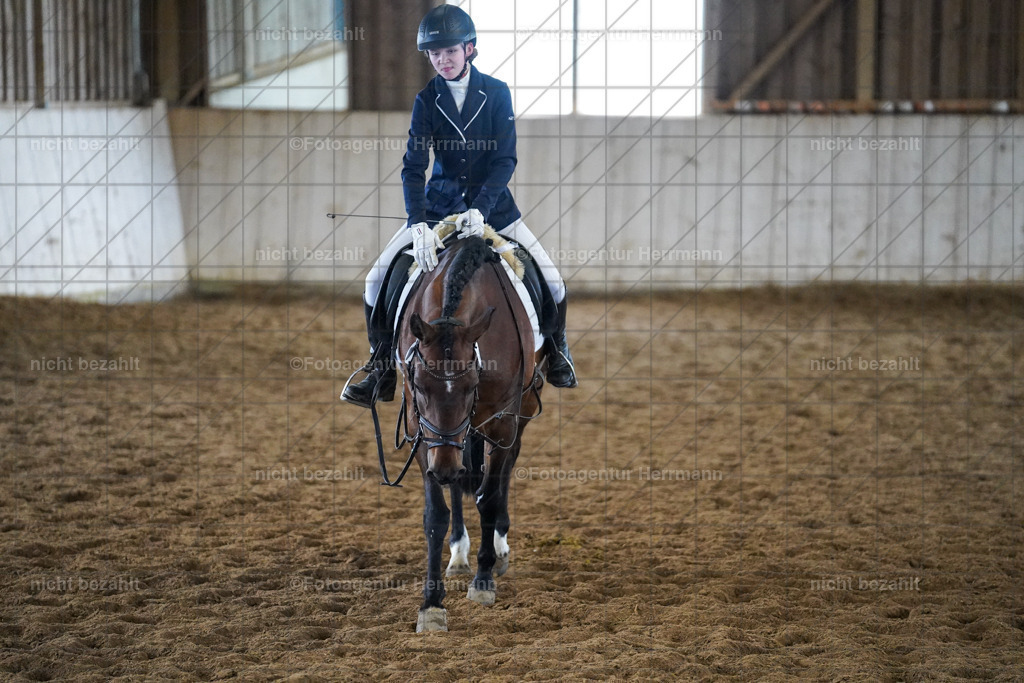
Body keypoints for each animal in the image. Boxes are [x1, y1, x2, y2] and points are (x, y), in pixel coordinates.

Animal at [391, 234, 543, 633]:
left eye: (473, 383)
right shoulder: (422, 432)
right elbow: (435, 514)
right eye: (418, 384)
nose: (443, 467)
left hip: (520, 412)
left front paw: (484, 581)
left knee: (501, 473)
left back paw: (498, 547)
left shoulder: (504, 422)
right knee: (461, 481)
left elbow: (489, 497)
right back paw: (458, 554)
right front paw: (431, 605)